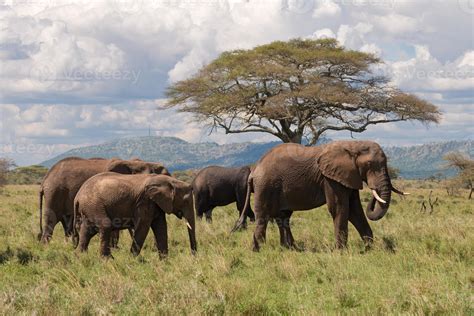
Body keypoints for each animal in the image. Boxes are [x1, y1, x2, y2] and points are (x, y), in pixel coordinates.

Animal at [38, 157, 170, 243]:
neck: (133, 163)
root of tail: (44, 180)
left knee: (67, 223)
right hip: (54, 193)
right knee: (51, 221)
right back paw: (46, 246)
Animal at [232, 141, 408, 252]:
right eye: (370, 165)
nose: (373, 191)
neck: (353, 144)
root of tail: (255, 170)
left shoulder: (348, 177)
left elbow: (355, 211)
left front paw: (369, 249)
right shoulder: (330, 179)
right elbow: (340, 209)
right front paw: (341, 252)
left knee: (283, 217)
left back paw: (290, 249)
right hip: (265, 186)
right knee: (263, 217)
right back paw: (259, 250)